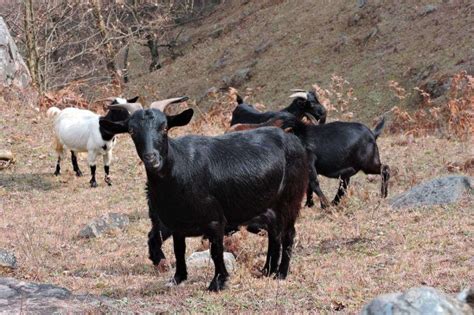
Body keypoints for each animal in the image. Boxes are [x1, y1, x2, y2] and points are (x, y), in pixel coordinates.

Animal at [100, 100, 308, 292]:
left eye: (165, 127)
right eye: (132, 130)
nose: (152, 159)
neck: (179, 167)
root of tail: (293, 140)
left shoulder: (215, 220)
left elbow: (215, 252)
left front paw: (217, 283)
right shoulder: (176, 223)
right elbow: (179, 250)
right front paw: (178, 278)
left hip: (290, 199)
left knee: (288, 234)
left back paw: (281, 273)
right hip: (269, 206)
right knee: (274, 233)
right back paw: (267, 271)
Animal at [229, 116, 388, 210]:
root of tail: (373, 133)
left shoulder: (310, 162)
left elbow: (313, 183)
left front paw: (324, 205)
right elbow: (308, 186)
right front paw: (310, 204)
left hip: (368, 163)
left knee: (385, 169)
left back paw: (383, 195)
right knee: (343, 186)